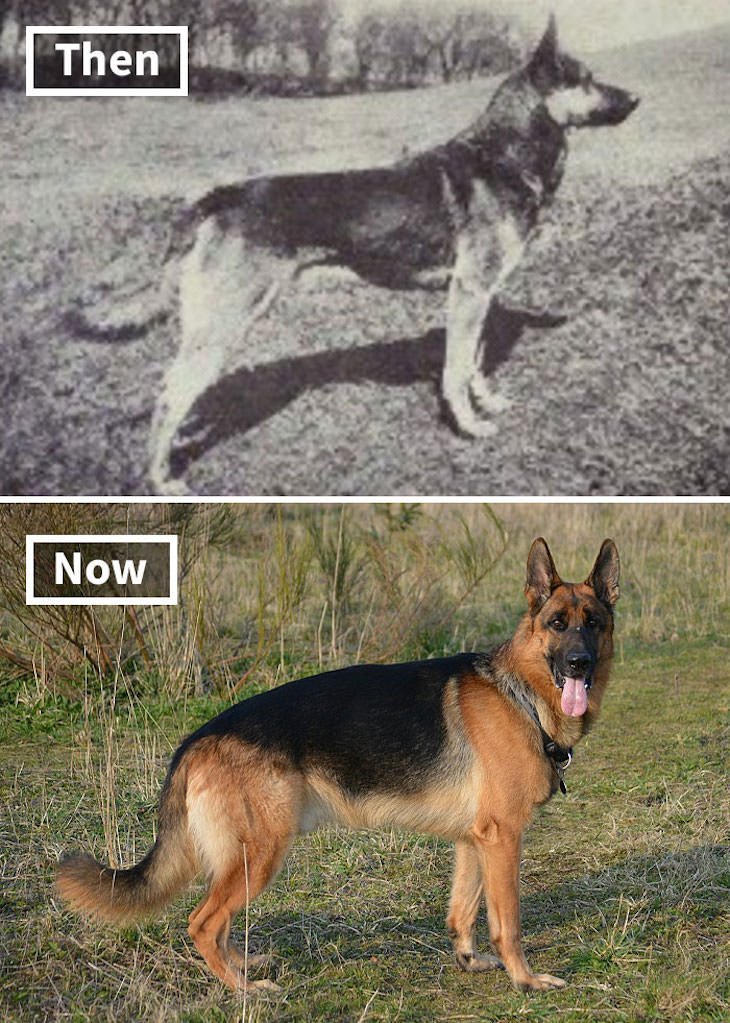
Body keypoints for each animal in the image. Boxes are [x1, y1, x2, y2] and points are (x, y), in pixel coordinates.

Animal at [56, 540, 617, 994]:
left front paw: (469, 961)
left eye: (593, 623)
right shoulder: (504, 839)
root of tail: (197, 739)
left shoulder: (475, 840)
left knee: (218, 923)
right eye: (557, 624)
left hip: (246, 859)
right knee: (201, 922)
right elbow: (508, 922)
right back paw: (243, 990)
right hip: (260, 854)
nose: (579, 664)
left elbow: (463, 910)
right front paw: (525, 980)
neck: (522, 695)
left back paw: (242, 967)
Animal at [126, 15, 637, 493]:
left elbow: (474, 362)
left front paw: (486, 402)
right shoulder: (469, 292)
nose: (636, 99)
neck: (502, 155)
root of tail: (221, 196)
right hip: (222, 328)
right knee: (169, 397)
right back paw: (160, 480)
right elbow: (456, 369)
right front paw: (469, 425)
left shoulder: (481, 295)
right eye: (586, 79)